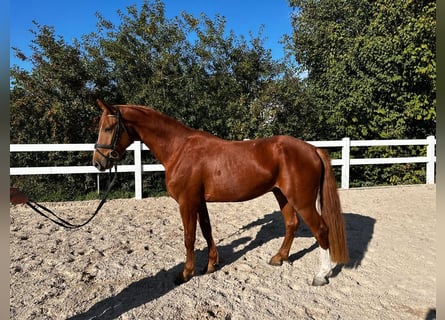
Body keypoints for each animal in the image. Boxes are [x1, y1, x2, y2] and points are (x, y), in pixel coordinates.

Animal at [92, 99, 348, 284]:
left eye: (108, 128)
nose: (98, 162)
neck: (179, 149)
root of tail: (312, 149)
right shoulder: (199, 201)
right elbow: (207, 231)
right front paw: (211, 265)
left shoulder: (187, 202)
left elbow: (189, 237)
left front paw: (186, 273)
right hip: (282, 195)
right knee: (291, 224)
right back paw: (279, 258)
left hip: (302, 200)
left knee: (321, 230)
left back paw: (321, 275)